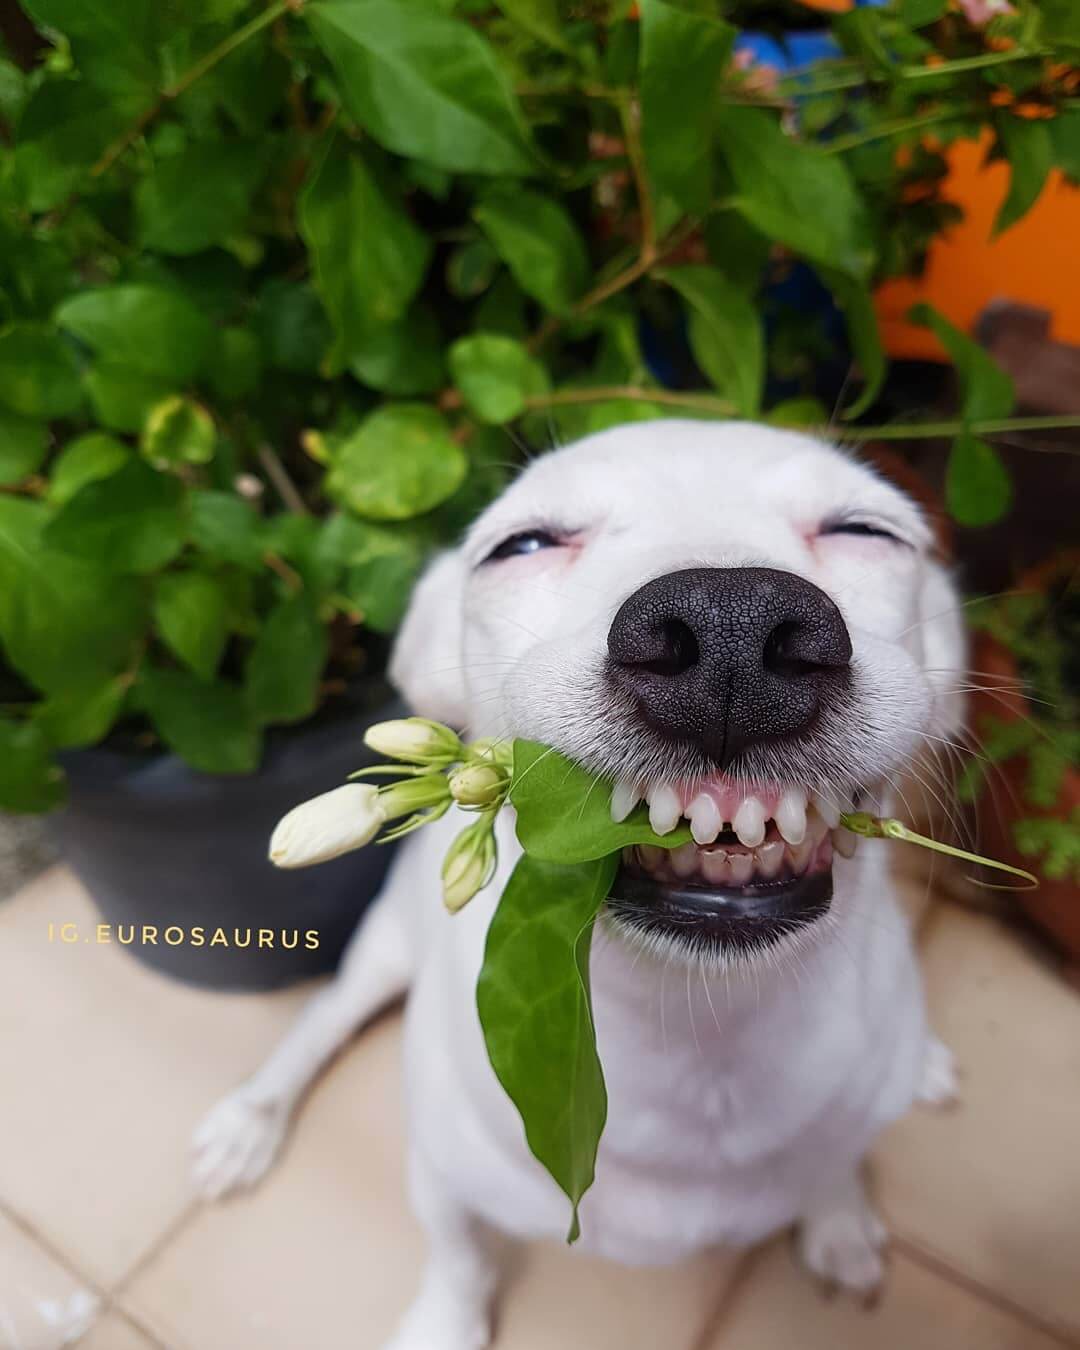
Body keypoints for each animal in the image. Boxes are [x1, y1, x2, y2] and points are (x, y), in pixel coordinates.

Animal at [191, 423, 961, 1350]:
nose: (730, 625)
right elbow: (457, 1255)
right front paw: (445, 1323)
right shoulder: (439, 1172)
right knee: (321, 1021)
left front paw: (838, 1216)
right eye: (522, 545)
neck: (701, 1036)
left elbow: (836, 1162)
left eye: (865, 531)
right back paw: (251, 1118)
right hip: (383, 951)